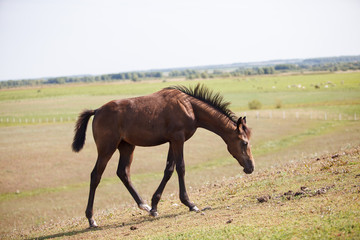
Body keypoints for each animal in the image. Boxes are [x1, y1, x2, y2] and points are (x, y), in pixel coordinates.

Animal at [72, 83, 253, 228]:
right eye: (244, 142)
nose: (251, 167)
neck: (189, 107)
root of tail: (96, 111)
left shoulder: (172, 142)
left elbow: (169, 170)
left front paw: (154, 207)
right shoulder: (178, 139)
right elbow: (180, 168)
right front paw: (190, 203)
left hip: (127, 147)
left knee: (123, 173)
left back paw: (144, 206)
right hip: (106, 149)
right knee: (96, 176)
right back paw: (91, 219)